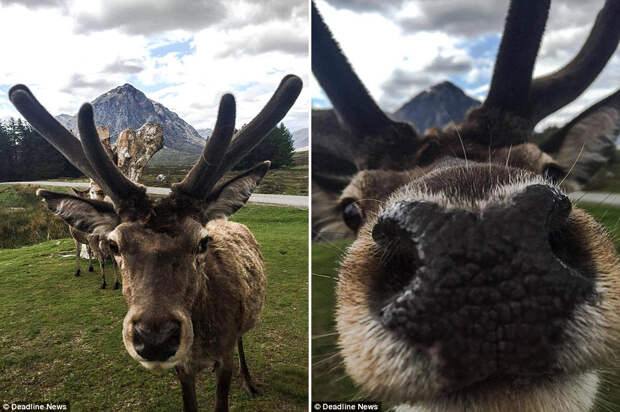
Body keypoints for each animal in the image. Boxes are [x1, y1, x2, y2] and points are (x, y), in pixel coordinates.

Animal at [8, 75, 302, 412]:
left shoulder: (225, 351)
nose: (156, 339)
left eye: (202, 242)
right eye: (115, 245)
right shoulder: (182, 368)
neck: (201, 344)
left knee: (243, 340)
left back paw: (250, 382)